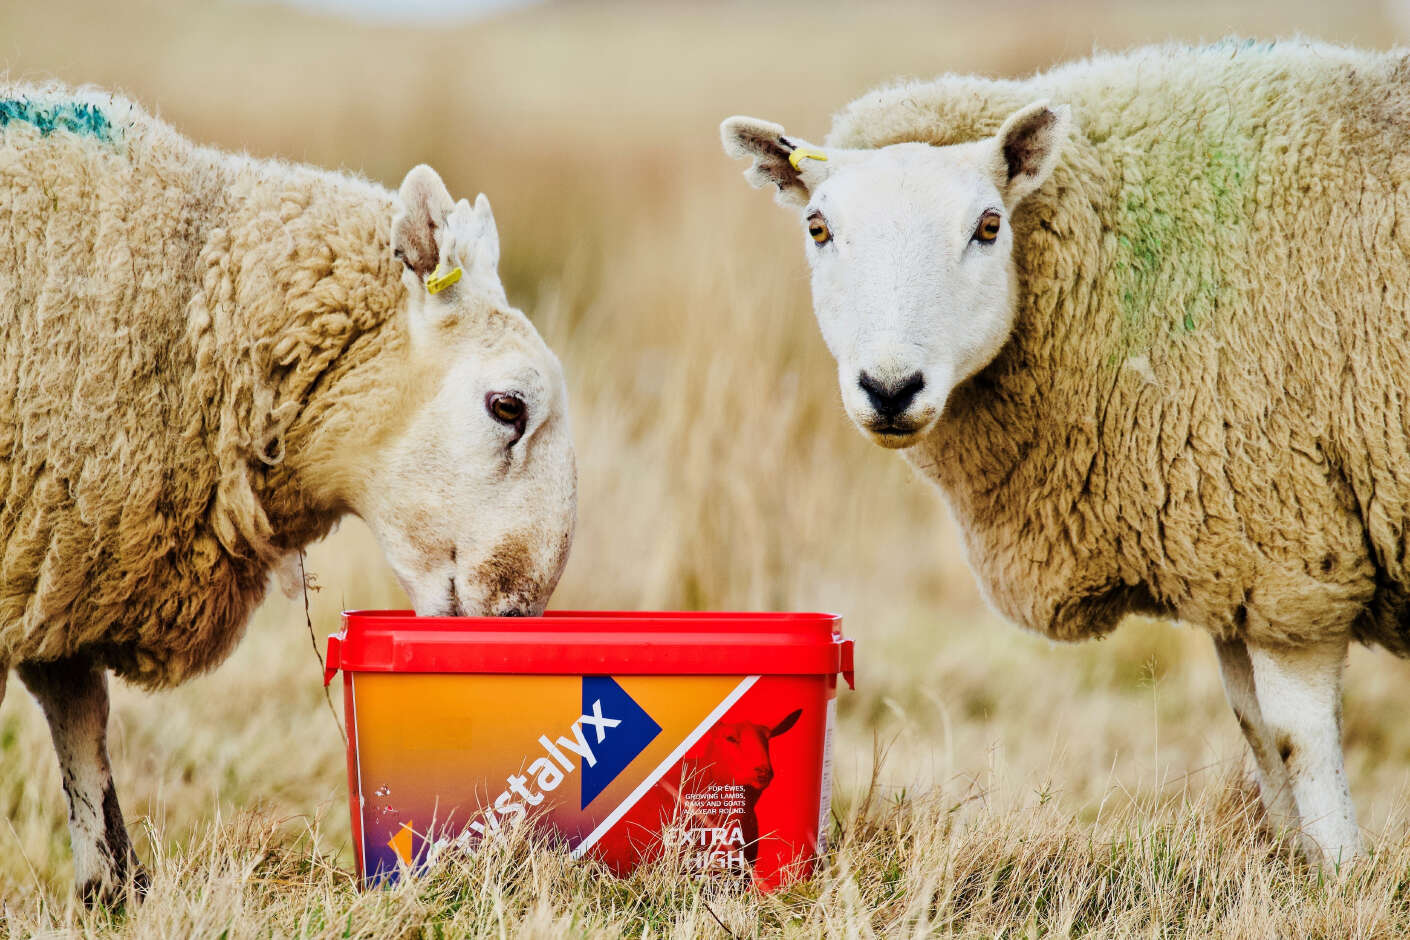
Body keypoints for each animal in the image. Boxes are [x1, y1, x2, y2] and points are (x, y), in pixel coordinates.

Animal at [721, 38, 1410, 866]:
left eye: (989, 225)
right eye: (818, 228)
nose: (890, 387)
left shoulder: (1293, 556)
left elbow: (1297, 739)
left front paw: (1340, 875)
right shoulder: (1234, 554)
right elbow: (1257, 737)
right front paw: (1294, 871)